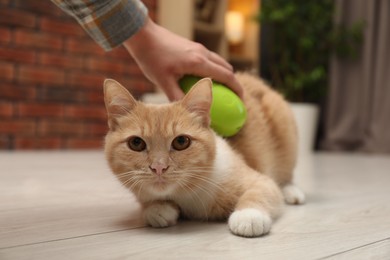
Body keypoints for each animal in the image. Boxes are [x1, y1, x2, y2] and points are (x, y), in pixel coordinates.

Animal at [103, 72, 304, 238]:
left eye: (181, 141)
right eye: (136, 143)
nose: (159, 167)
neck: (187, 195)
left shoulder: (258, 179)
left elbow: (261, 190)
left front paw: (248, 216)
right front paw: (157, 208)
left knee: (285, 176)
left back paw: (292, 191)